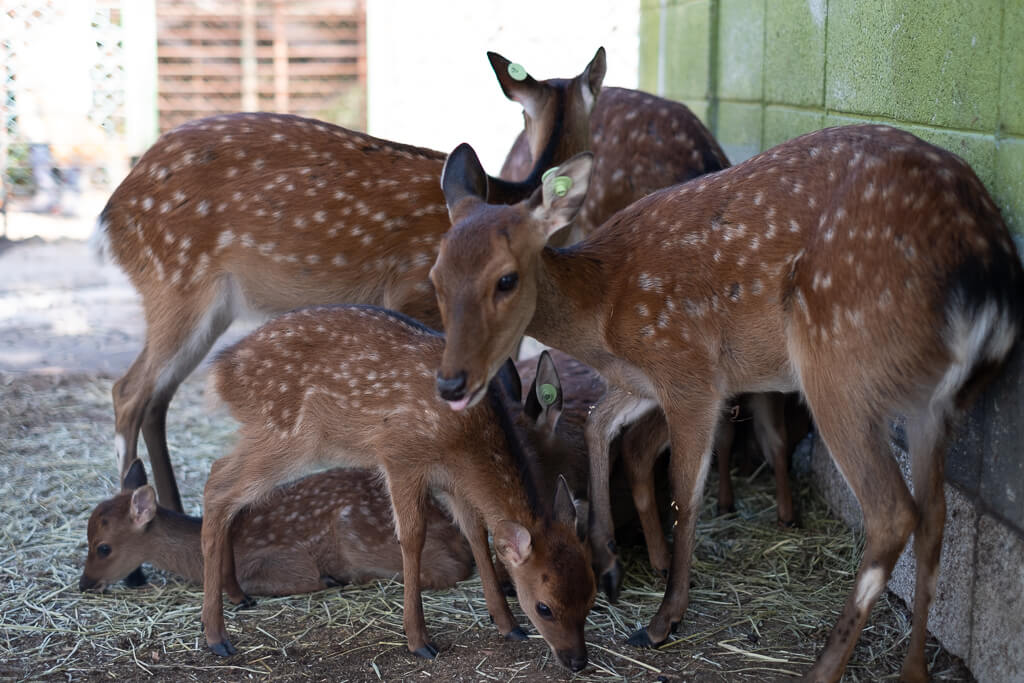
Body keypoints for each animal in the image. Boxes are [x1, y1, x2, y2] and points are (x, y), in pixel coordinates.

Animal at [78, 458, 471, 598]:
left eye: (103, 547)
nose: (84, 583)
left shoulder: (285, 558)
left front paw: (326, 580)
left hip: (360, 535)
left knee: (449, 569)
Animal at [94, 49, 606, 518]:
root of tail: (111, 213)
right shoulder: (414, 296)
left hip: (208, 303)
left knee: (157, 397)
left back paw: (174, 510)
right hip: (175, 280)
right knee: (129, 392)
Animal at [198, 307, 598, 671]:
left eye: (592, 596)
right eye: (544, 607)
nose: (577, 661)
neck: (464, 442)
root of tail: (220, 372)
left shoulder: (453, 481)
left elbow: (476, 535)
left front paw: (508, 625)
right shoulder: (400, 456)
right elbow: (412, 537)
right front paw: (419, 640)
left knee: (221, 478)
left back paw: (238, 596)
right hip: (288, 435)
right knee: (217, 487)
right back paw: (217, 636)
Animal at [432, 125, 1024, 679]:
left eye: (506, 279)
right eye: (436, 276)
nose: (451, 383)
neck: (601, 312)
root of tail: (988, 270)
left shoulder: (688, 370)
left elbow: (683, 492)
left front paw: (663, 619)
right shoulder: (644, 381)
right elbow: (600, 425)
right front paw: (608, 564)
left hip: (838, 364)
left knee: (893, 511)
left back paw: (822, 668)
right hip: (933, 403)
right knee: (936, 516)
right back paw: (913, 669)